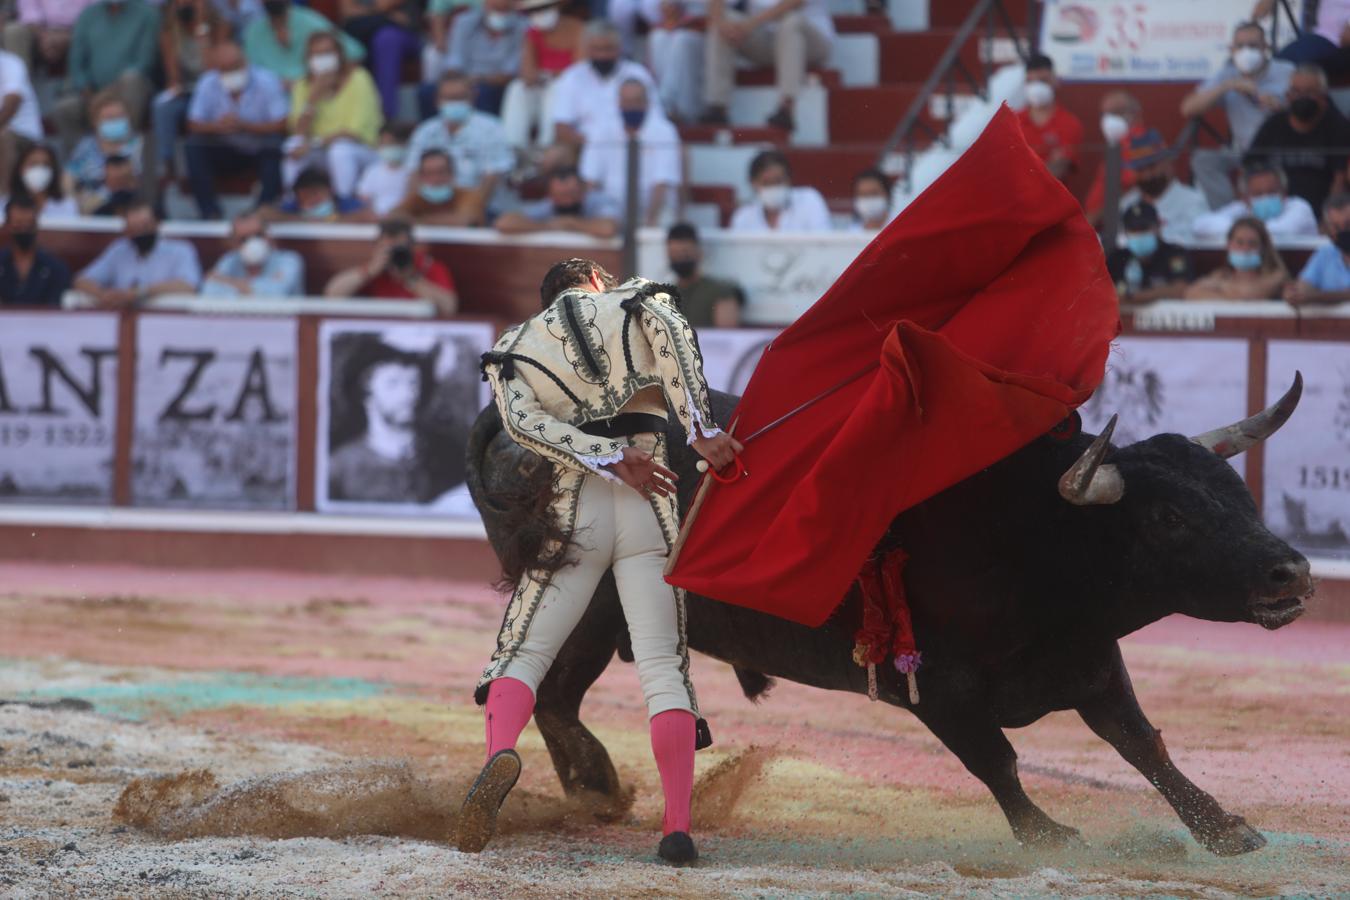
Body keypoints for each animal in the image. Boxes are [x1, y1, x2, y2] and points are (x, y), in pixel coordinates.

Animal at [469, 383, 1312, 858]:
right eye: (1169, 518)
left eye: (1238, 494)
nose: (1293, 574)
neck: (1033, 535)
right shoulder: (939, 691)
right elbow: (997, 763)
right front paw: (1049, 835)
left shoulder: (1091, 663)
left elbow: (1145, 745)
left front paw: (1224, 829)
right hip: (585, 604)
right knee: (548, 691)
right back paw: (594, 787)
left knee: (554, 695)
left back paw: (594, 789)